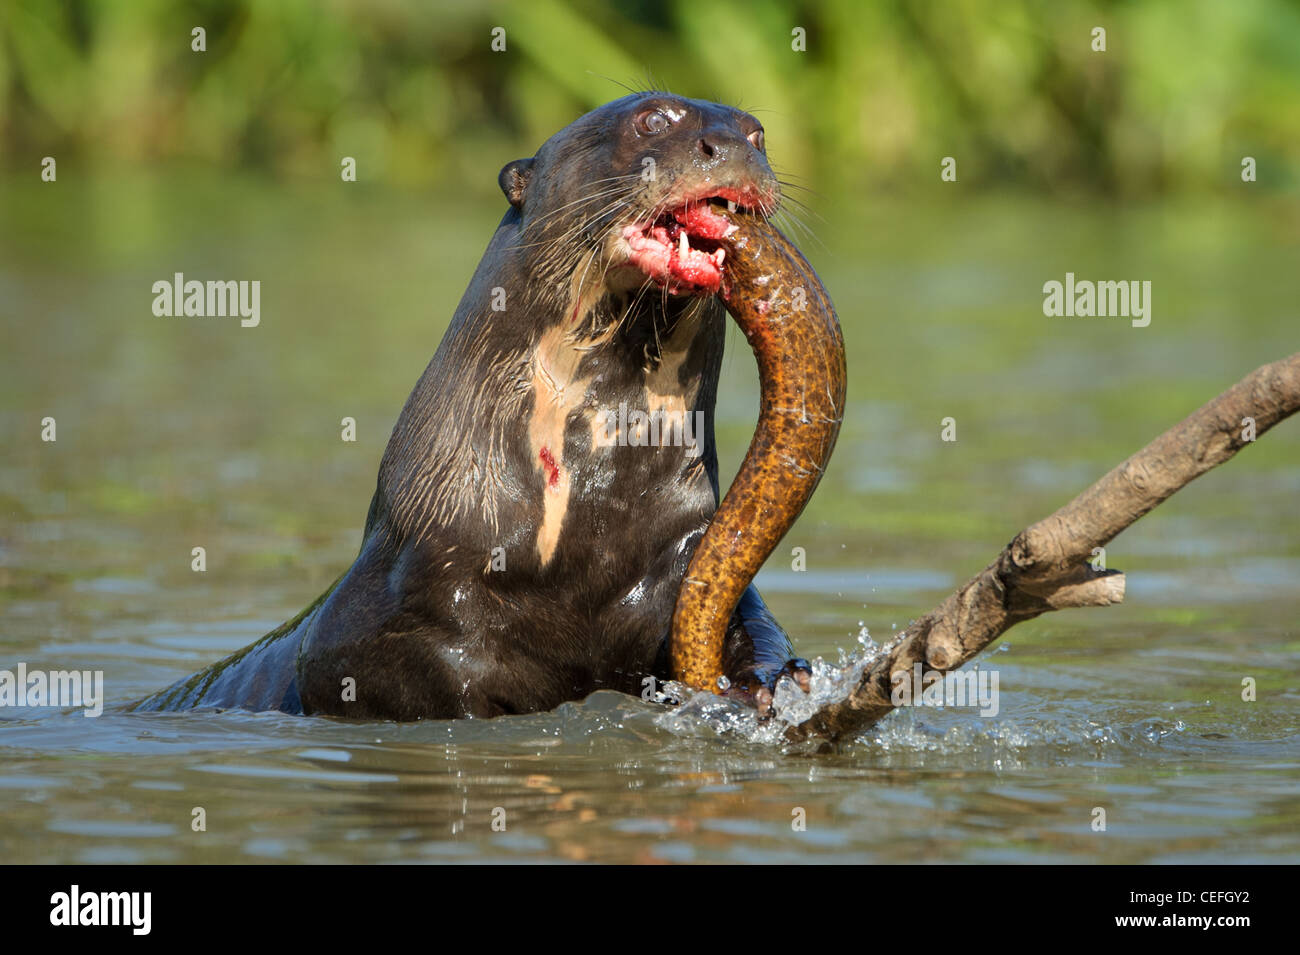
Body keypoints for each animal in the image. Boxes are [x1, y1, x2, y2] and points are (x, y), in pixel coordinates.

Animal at [137, 93, 842, 722]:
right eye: (653, 120)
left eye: (756, 132)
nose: (733, 146)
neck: (585, 535)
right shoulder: (373, 620)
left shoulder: (685, 553)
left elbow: (748, 619)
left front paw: (773, 680)